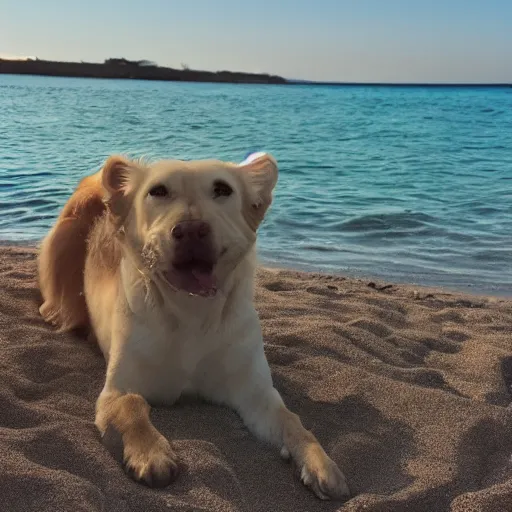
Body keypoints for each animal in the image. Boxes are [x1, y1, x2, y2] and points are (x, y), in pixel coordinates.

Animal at [35, 152, 348, 500]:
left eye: (223, 190)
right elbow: (132, 405)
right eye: (157, 191)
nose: (190, 230)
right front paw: (150, 453)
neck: (191, 312)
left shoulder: (256, 395)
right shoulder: (117, 391)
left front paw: (320, 463)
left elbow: (292, 421)